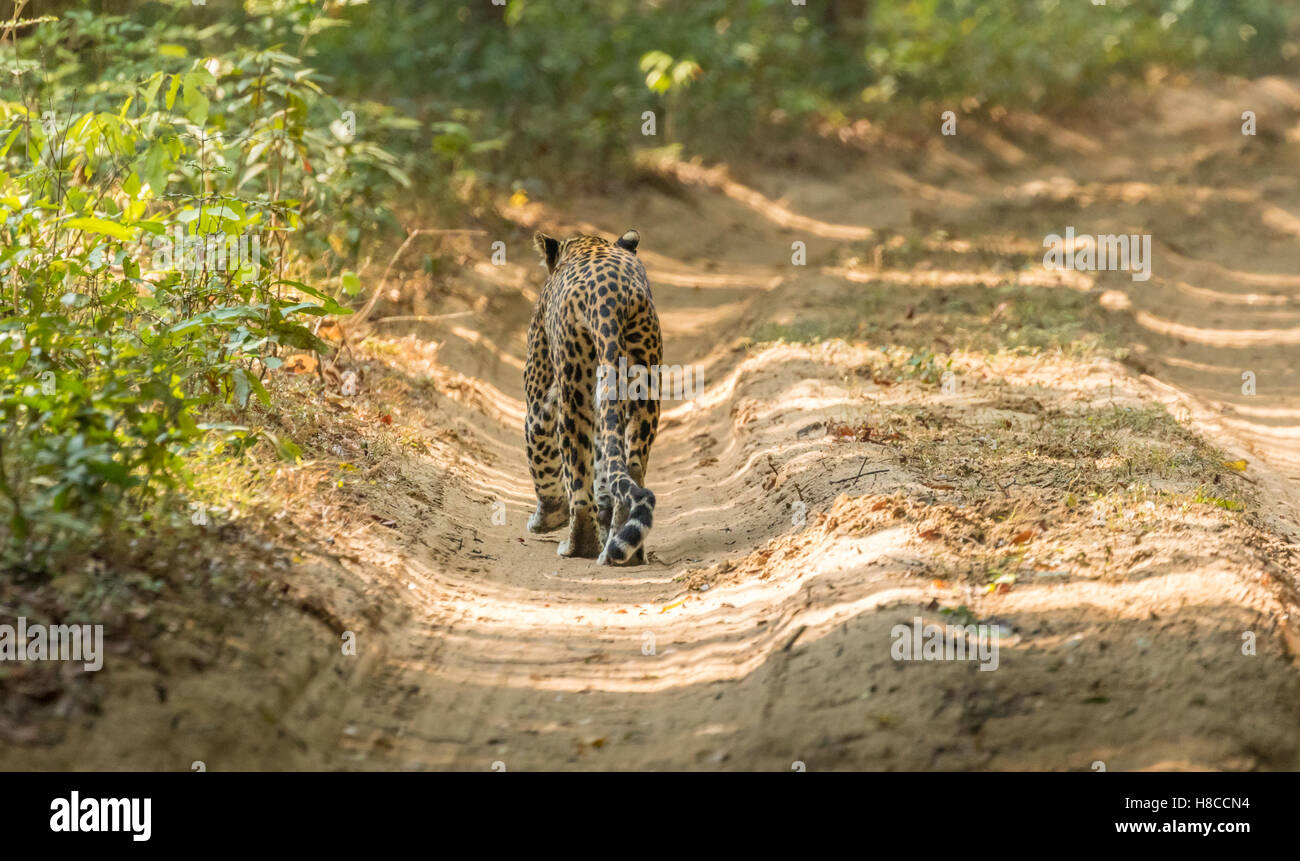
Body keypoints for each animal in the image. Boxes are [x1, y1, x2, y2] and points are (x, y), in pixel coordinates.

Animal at [522, 227, 660, 567]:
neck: (587, 244)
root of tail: (608, 299)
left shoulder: (538, 397)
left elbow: (540, 451)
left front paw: (546, 519)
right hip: (646, 386)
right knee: (632, 466)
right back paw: (625, 550)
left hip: (573, 393)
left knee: (579, 485)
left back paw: (578, 546)